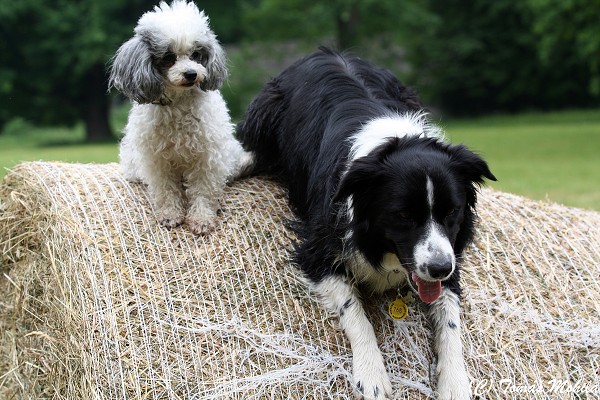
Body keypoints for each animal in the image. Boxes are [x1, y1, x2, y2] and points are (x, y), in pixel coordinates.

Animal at [109, 0, 252, 234]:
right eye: (168, 57)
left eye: (195, 54)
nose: (191, 74)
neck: (178, 103)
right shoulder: (157, 160)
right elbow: (166, 190)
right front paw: (170, 215)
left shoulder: (207, 157)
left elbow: (203, 191)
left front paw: (201, 219)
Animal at [237, 48, 494, 398]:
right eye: (403, 215)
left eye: (452, 211)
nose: (439, 269)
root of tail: (326, 51)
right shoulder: (316, 251)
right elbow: (355, 312)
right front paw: (372, 373)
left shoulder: (451, 253)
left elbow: (450, 321)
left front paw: (455, 382)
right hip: (265, 114)